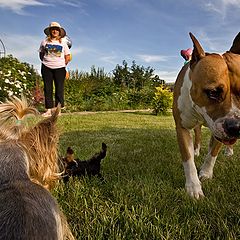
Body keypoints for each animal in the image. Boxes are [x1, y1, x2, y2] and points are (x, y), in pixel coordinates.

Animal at [173, 32, 240, 200]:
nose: (236, 127)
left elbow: (212, 153)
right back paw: (196, 150)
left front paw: (206, 173)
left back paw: (229, 151)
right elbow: (188, 158)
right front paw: (193, 187)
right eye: (213, 92)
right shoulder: (182, 127)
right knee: (197, 137)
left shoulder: (219, 130)